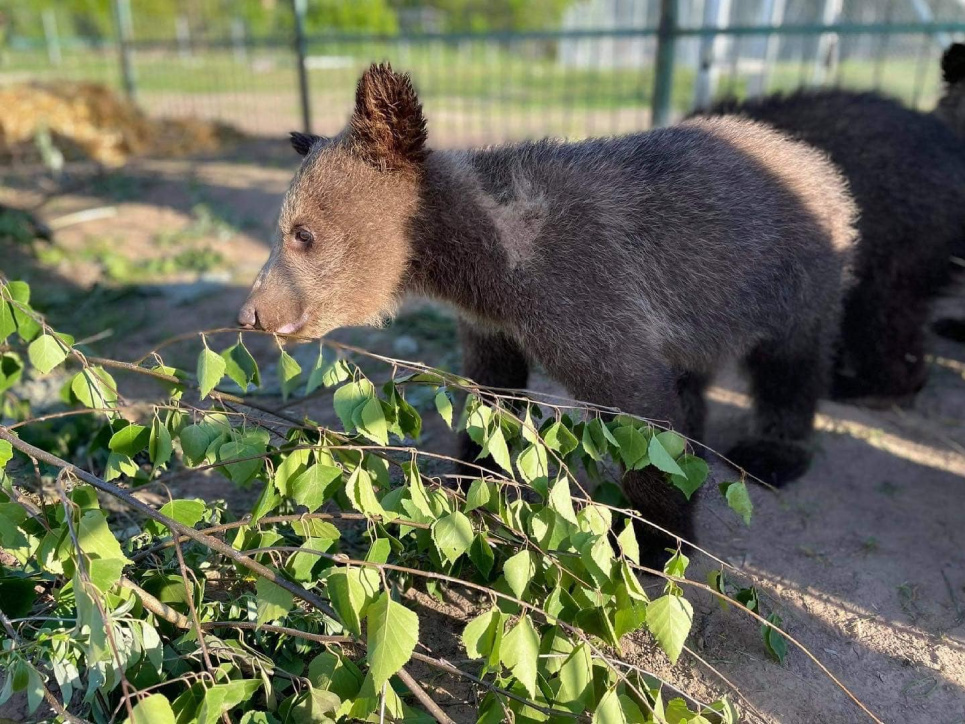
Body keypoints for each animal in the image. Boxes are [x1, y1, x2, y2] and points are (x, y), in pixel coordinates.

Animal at [237, 65, 856, 556]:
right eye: (284, 229)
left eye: (302, 232)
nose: (251, 312)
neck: (487, 258)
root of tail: (814, 158)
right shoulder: (492, 324)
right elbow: (493, 397)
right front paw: (468, 482)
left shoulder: (584, 295)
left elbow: (641, 418)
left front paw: (656, 542)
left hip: (792, 280)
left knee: (792, 362)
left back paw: (772, 453)